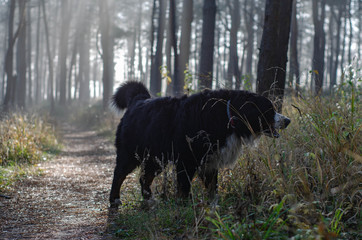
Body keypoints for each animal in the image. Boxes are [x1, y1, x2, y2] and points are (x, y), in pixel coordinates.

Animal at [109, 81, 290, 205]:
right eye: (269, 110)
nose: (287, 120)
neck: (227, 115)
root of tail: (137, 100)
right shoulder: (186, 161)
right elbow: (184, 187)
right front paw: (186, 205)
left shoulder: (211, 161)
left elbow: (212, 188)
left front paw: (214, 207)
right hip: (130, 154)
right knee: (119, 174)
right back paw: (115, 199)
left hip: (156, 158)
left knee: (145, 177)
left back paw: (149, 199)